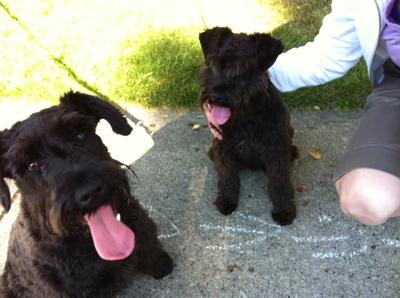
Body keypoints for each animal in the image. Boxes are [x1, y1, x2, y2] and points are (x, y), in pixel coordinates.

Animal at [199, 26, 296, 225]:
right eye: (214, 64)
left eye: (245, 70)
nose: (217, 97)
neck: (245, 119)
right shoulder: (223, 149)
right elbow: (228, 177)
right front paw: (226, 200)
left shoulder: (278, 152)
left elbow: (280, 182)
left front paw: (284, 209)